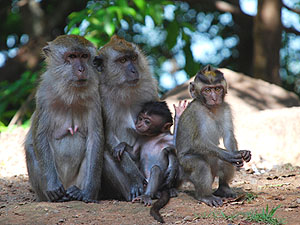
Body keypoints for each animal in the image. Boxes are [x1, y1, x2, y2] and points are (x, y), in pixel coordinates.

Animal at [24, 34, 104, 202]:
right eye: (72, 56)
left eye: (84, 56)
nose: (81, 69)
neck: (70, 94)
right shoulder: (44, 96)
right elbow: (41, 135)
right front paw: (52, 186)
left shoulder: (95, 98)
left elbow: (95, 138)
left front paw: (89, 192)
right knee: (31, 149)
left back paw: (77, 193)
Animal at [95, 35, 161, 200]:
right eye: (123, 60)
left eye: (133, 58)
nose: (133, 70)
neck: (124, 91)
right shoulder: (101, 98)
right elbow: (109, 136)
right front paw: (136, 179)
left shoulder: (149, 88)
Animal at [176, 64, 251, 207]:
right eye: (207, 90)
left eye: (217, 89)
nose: (214, 98)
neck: (211, 108)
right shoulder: (196, 111)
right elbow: (197, 142)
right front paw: (230, 155)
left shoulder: (225, 108)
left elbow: (228, 136)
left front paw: (241, 153)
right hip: (184, 166)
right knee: (200, 165)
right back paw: (205, 196)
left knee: (222, 161)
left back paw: (224, 188)